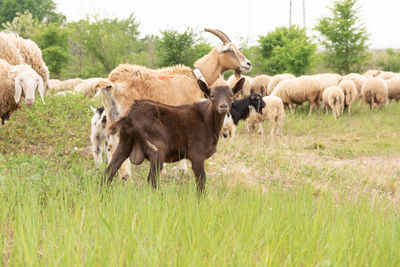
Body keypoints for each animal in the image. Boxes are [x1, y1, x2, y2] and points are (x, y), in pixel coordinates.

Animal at [101, 78, 245, 194]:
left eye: (231, 95)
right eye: (212, 96)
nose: (223, 106)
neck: (208, 121)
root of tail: (129, 116)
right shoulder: (196, 155)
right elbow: (201, 183)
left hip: (125, 143)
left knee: (108, 172)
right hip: (157, 149)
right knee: (152, 180)